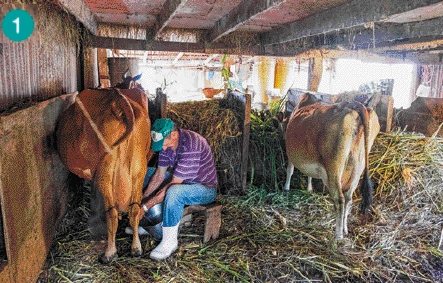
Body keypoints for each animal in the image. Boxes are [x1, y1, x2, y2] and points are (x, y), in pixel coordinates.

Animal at [55, 89, 153, 264]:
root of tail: (118, 99)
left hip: (105, 170)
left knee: (111, 212)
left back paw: (109, 252)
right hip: (139, 167)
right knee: (135, 208)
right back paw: (136, 248)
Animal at [286, 92, 380, 240]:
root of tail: (354, 105)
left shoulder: (290, 154)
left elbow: (289, 170)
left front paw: (286, 188)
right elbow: (309, 175)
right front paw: (309, 189)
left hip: (334, 166)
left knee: (340, 199)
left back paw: (338, 235)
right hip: (358, 166)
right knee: (348, 198)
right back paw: (345, 230)